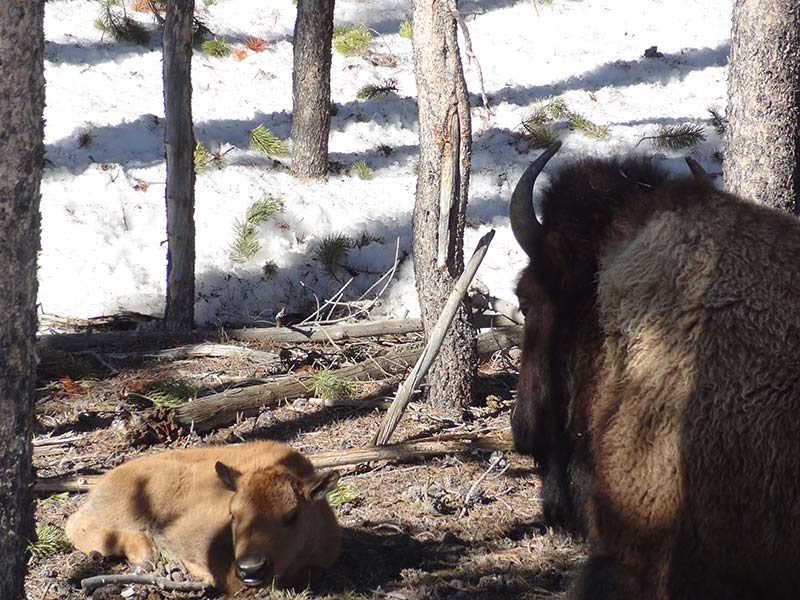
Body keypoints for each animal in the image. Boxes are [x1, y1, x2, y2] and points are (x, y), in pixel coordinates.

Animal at [67, 440, 342, 592]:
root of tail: (104, 482)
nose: (251, 568)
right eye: (233, 514)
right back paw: (146, 557)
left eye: (292, 515)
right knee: (78, 527)